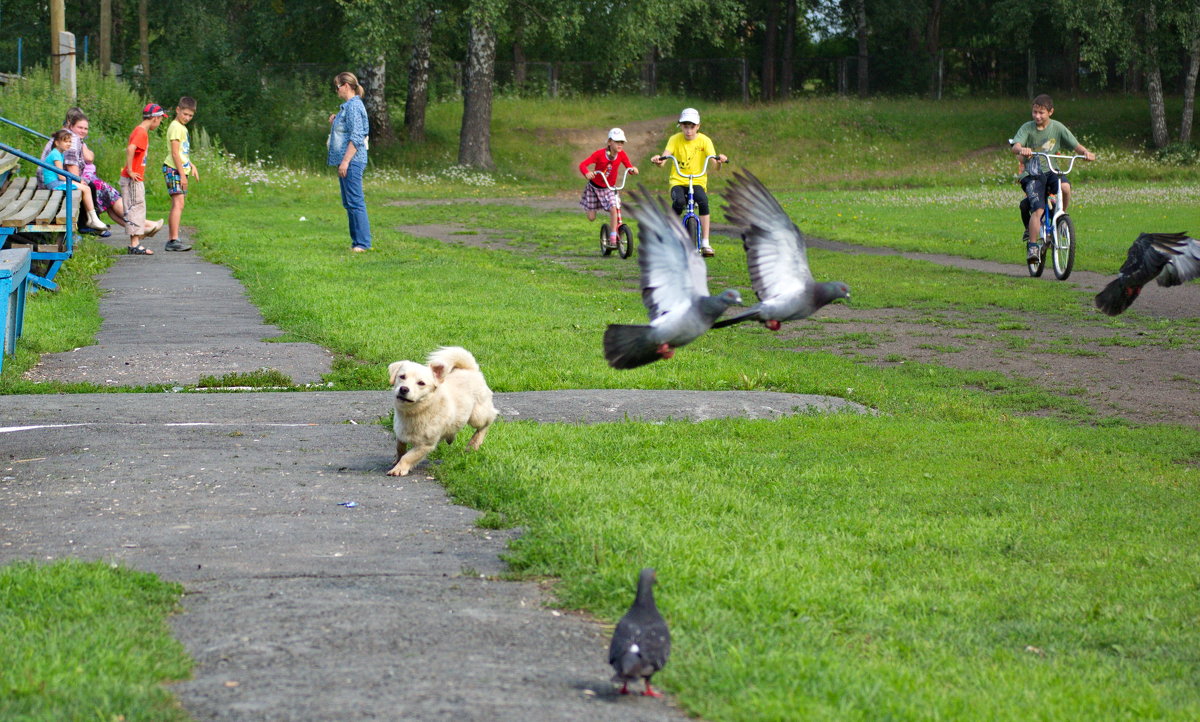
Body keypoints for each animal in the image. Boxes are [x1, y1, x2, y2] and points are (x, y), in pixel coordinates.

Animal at [384, 345, 496, 474]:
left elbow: (408, 457)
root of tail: (471, 370)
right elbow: (400, 448)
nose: (404, 389)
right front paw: (396, 461)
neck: (414, 412)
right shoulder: (400, 434)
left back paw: (474, 443)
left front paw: (399, 469)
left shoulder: (425, 445)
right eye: (402, 376)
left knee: (488, 421)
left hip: (477, 416)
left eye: (421, 383)